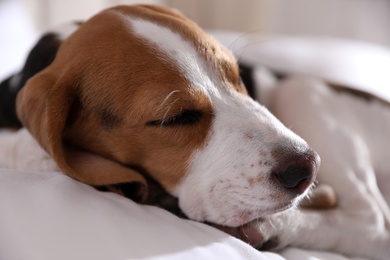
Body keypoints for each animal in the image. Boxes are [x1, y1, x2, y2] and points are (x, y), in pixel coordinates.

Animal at [0, 4, 388, 260]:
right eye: (176, 118)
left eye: (238, 77)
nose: (307, 169)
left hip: (300, 89)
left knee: (372, 222)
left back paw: (275, 227)